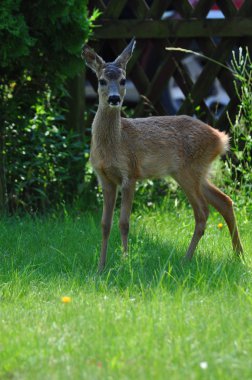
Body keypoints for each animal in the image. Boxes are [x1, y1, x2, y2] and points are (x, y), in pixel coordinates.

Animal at [81, 38, 243, 272]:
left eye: (123, 80)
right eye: (101, 81)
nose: (113, 98)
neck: (115, 143)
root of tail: (221, 139)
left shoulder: (130, 173)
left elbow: (124, 222)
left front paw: (125, 262)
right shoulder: (104, 178)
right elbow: (104, 224)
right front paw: (101, 267)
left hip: (188, 171)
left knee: (203, 211)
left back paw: (186, 259)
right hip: (196, 173)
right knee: (225, 201)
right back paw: (238, 255)